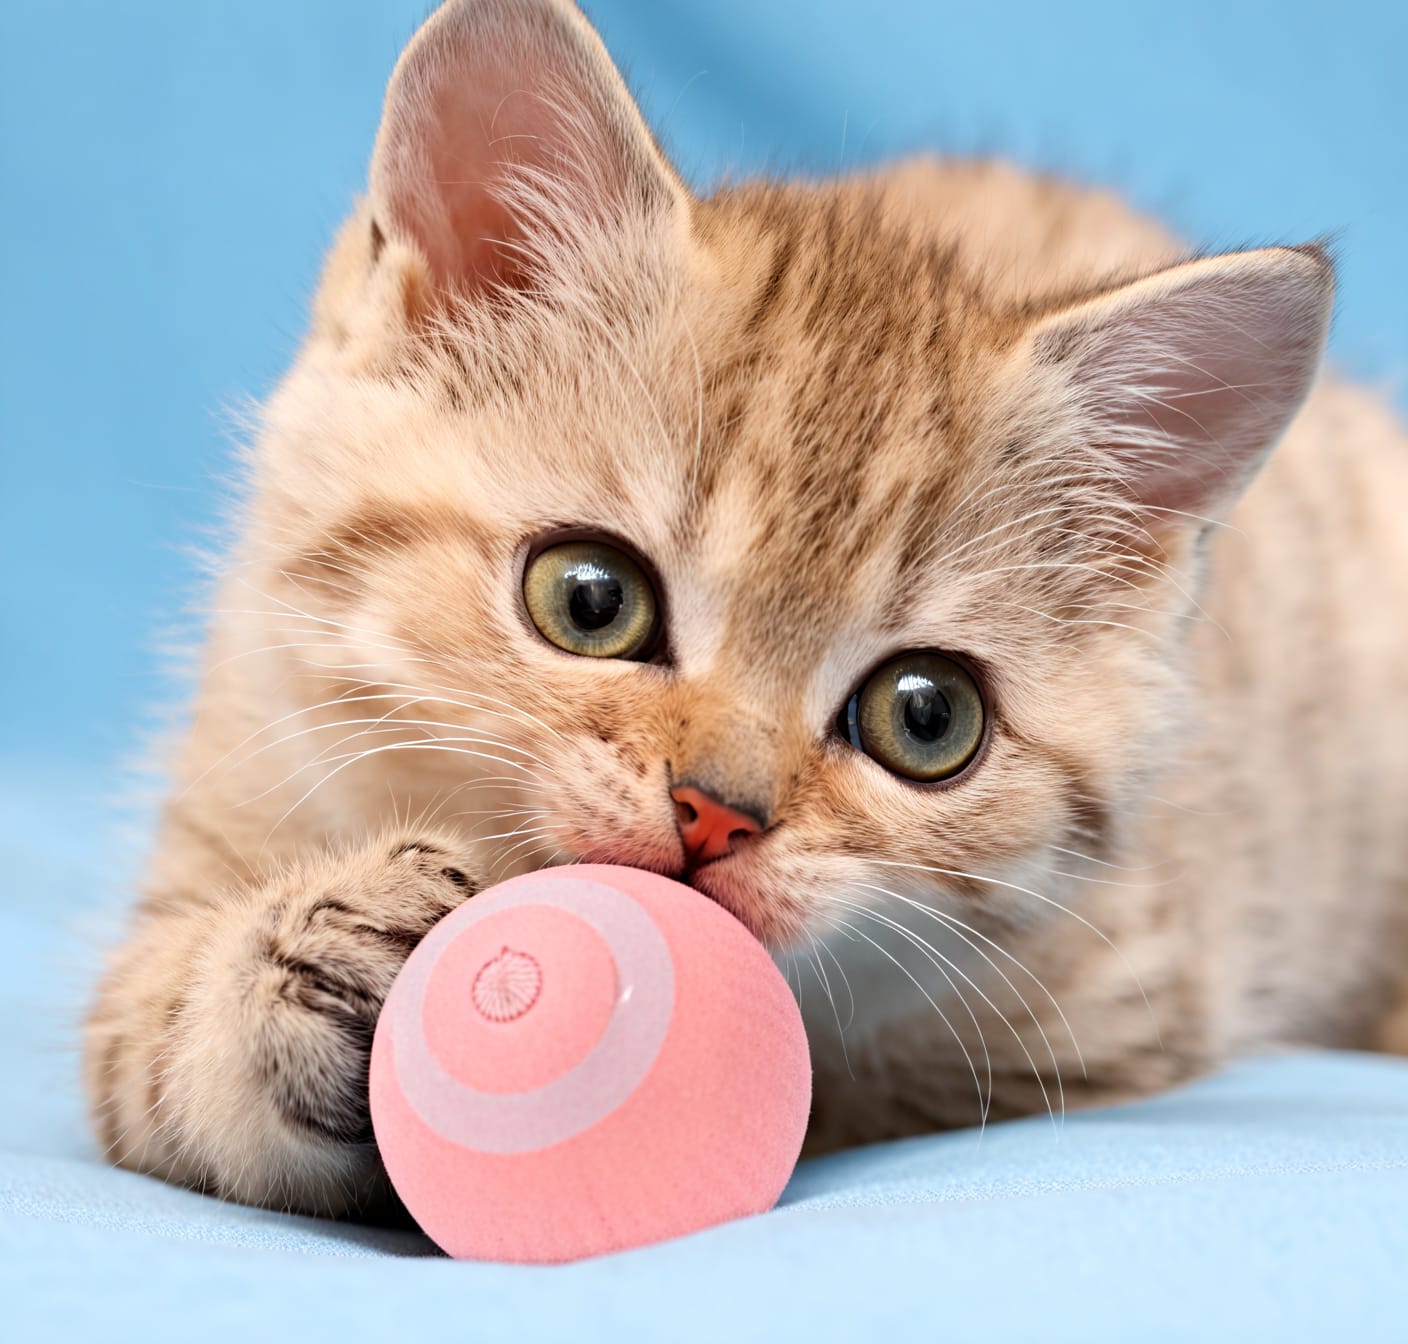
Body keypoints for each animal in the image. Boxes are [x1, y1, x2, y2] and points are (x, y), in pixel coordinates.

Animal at [85, 0, 1408, 1221]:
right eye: (590, 600)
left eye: (926, 719)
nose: (716, 812)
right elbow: (148, 1044)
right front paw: (313, 959)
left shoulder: (1116, 1006)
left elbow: (836, 1083)